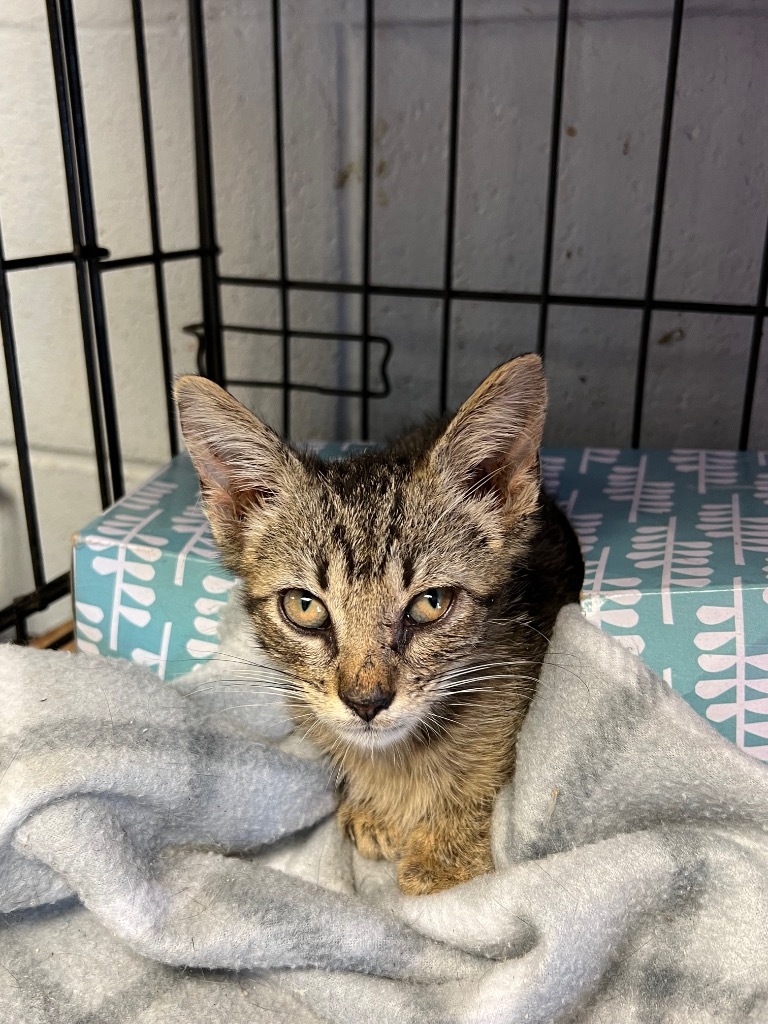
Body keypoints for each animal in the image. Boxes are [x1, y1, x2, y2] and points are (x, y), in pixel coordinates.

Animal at [174, 356, 581, 892]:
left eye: (431, 602)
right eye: (304, 607)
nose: (365, 702)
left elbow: (491, 759)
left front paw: (446, 856)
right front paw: (374, 807)